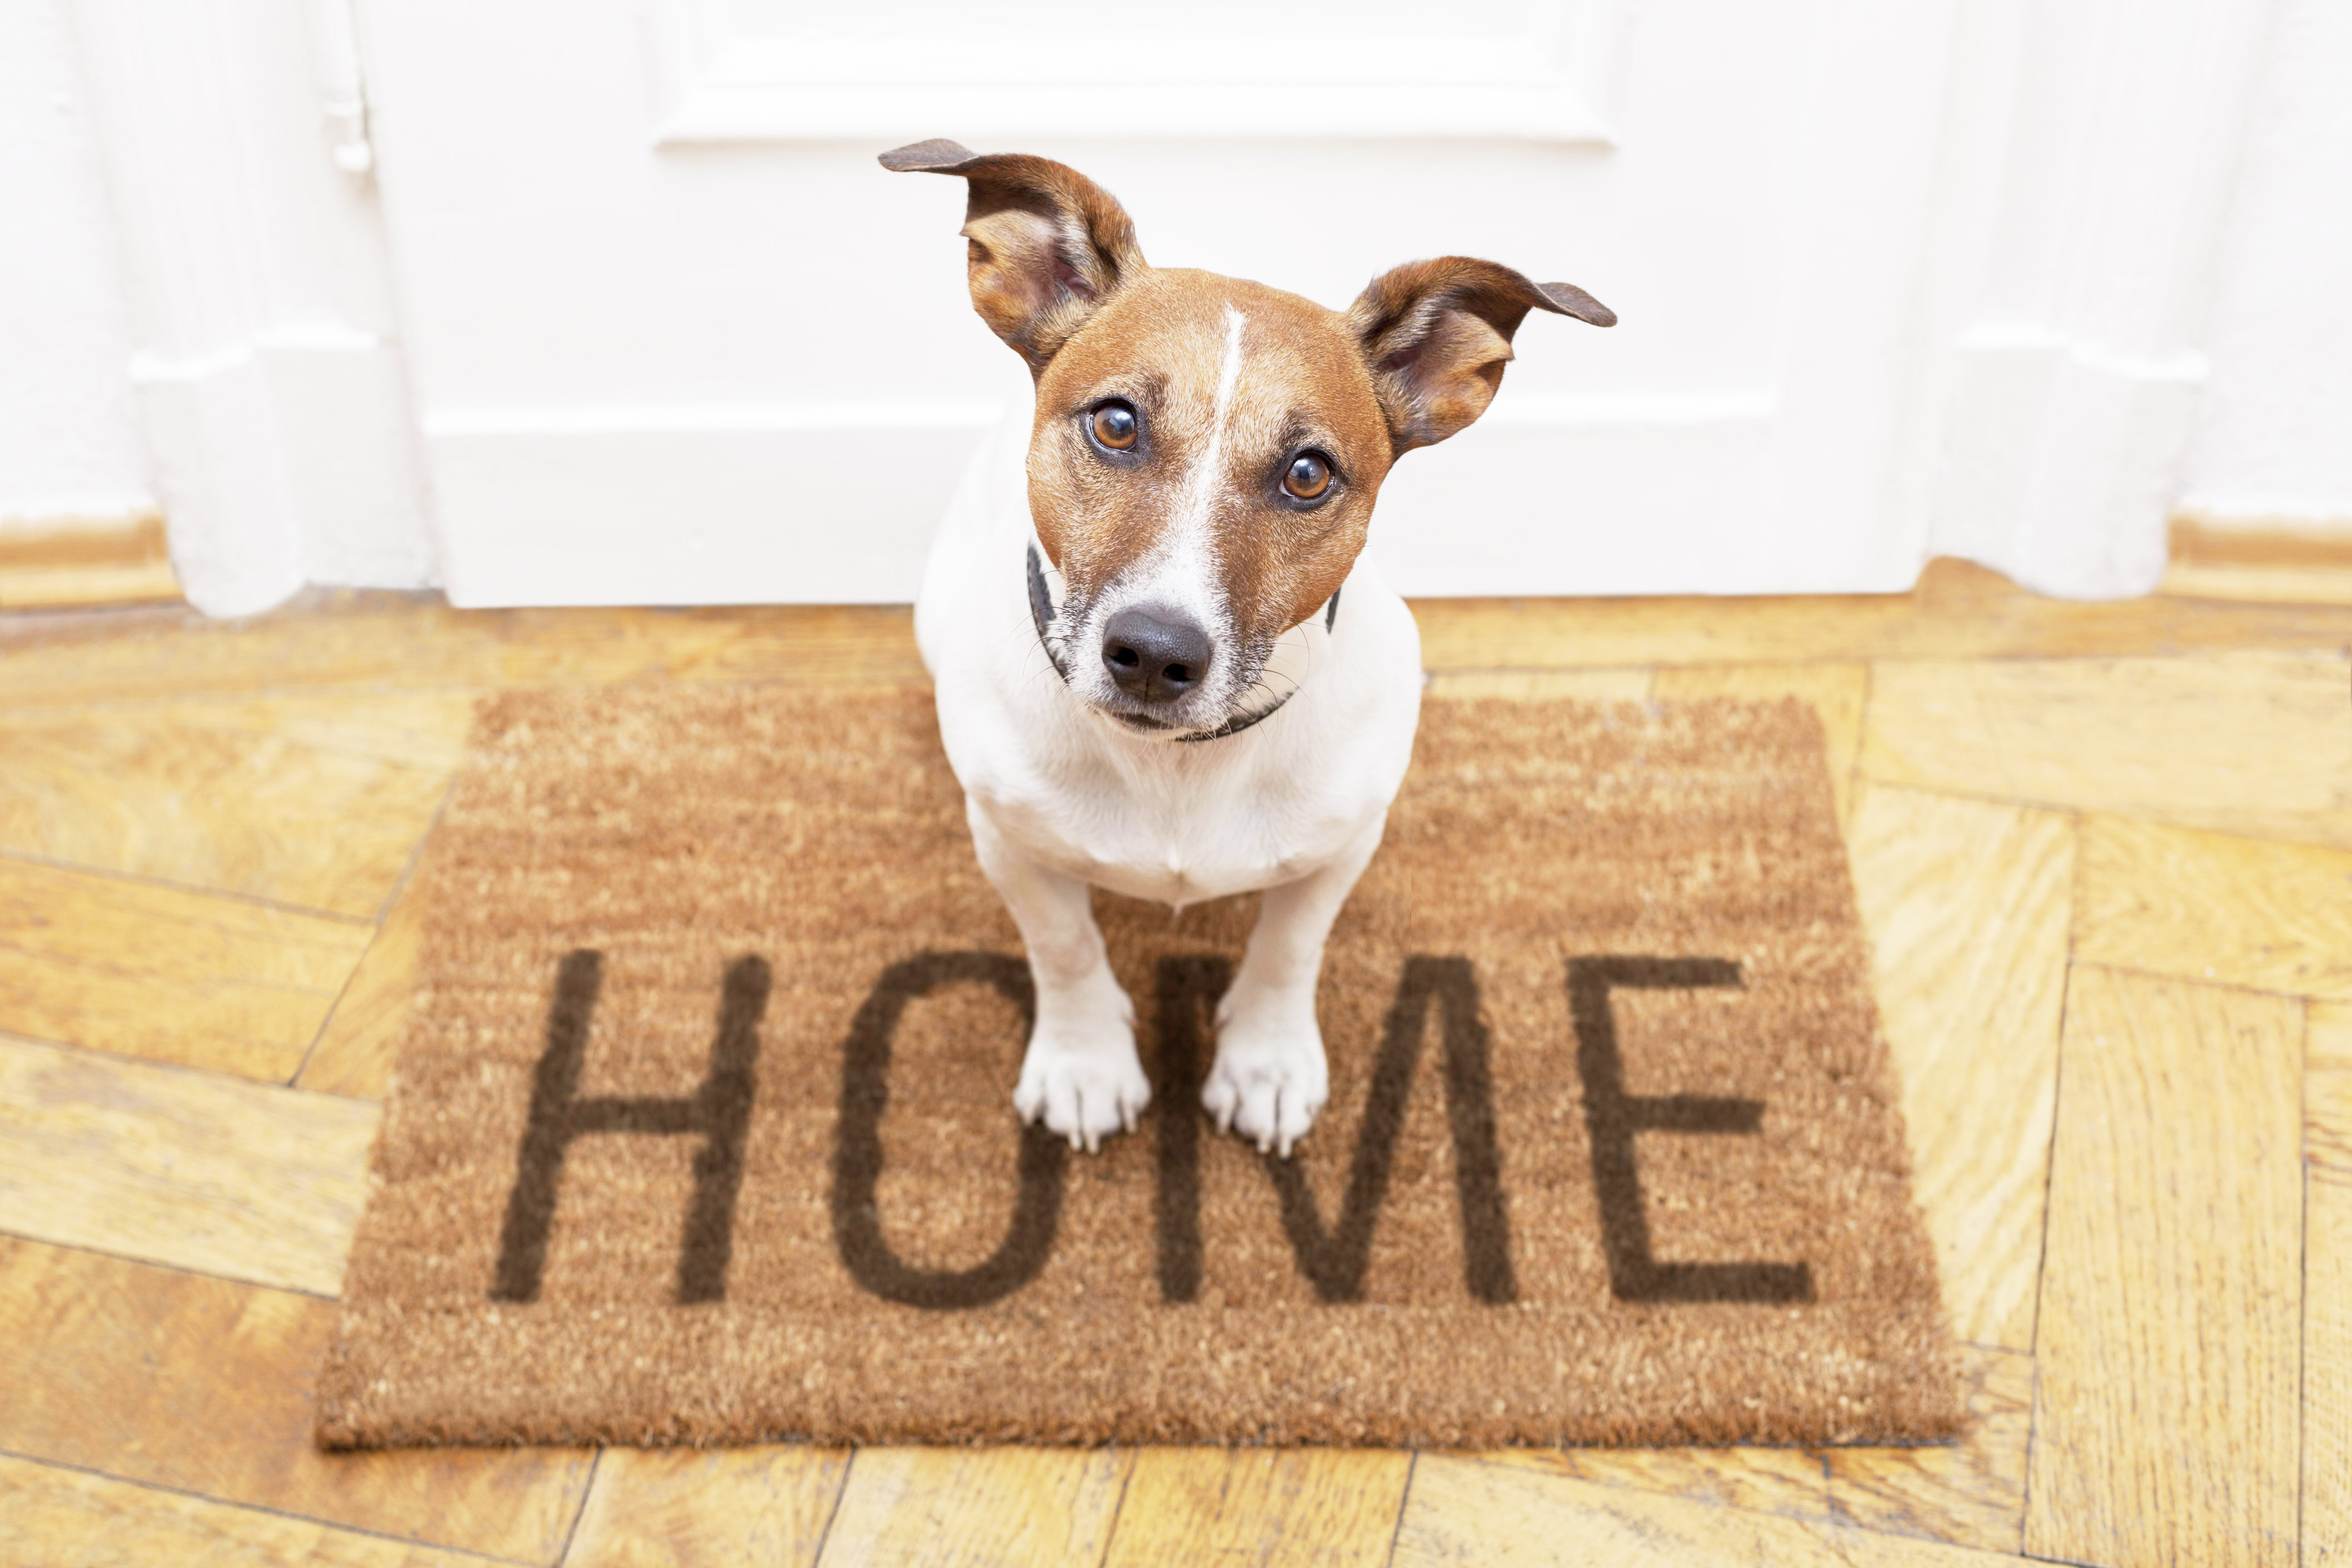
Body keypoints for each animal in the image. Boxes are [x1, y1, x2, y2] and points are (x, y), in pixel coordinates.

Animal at [886, 140, 1612, 1157]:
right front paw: (1083, 1061)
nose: (1154, 652)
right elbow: (1063, 946)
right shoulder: (1010, 842)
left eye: (1308, 474)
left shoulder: (1341, 846)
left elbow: (1287, 948)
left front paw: (1265, 1061)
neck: (1179, 767)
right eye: (1116, 422)